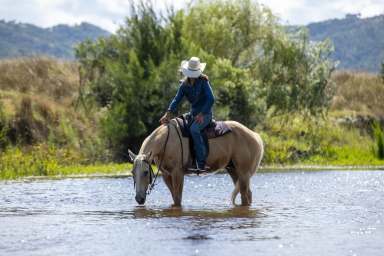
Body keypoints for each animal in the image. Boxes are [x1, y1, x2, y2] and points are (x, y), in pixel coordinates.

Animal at [127, 119, 262, 207]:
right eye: (132, 172)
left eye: (145, 172)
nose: (139, 199)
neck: (167, 141)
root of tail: (255, 136)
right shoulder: (166, 175)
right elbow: (174, 197)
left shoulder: (178, 174)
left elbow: (178, 199)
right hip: (233, 171)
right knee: (248, 194)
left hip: (243, 173)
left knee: (245, 196)